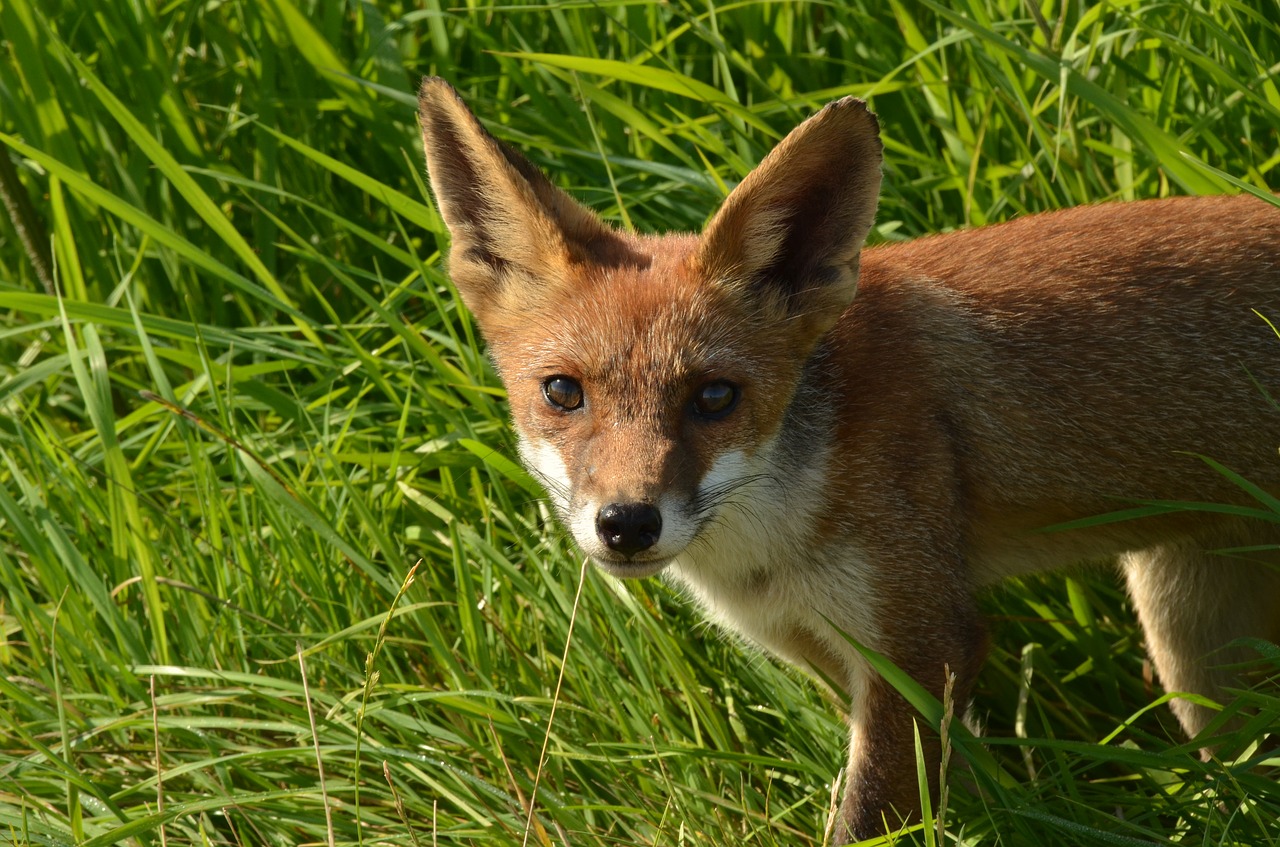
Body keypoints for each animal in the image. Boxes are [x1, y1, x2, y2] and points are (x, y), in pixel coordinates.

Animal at [417, 78, 1280, 844]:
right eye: (563, 392)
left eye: (715, 396)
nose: (627, 522)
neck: (774, 538)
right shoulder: (829, 649)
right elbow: (951, 790)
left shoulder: (923, 638)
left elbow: (868, 816)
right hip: (1190, 636)